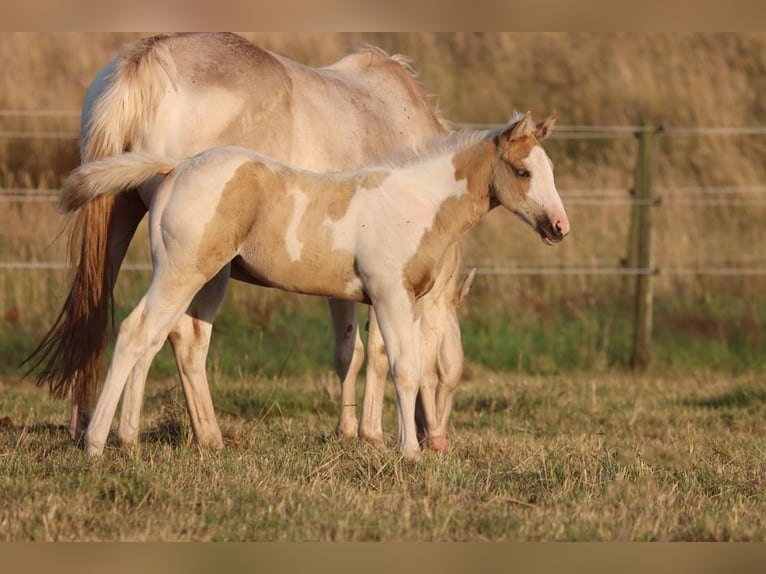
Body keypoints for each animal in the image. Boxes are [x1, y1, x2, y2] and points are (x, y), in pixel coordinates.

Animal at [24, 32, 470, 451]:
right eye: (447, 379)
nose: (438, 442)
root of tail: (150, 58)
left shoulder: (342, 276)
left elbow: (349, 352)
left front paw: (346, 430)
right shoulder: (386, 281)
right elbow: (379, 352)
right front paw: (372, 434)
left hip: (118, 217)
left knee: (96, 313)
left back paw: (89, 428)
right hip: (202, 265)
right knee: (182, 336)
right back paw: (205, 435)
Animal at [60, 111, 569, 458]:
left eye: (551, 171)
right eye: (523, 172)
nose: (560, 227)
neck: (416, 203)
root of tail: (175, 168)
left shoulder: (411, 302)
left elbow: (412, 368)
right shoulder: (388, 294)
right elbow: (403, 368)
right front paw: (408, 452)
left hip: (202, 278)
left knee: (165, 339)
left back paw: (146, 438)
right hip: (182, 271)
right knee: (135, 333)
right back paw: (97, 444)